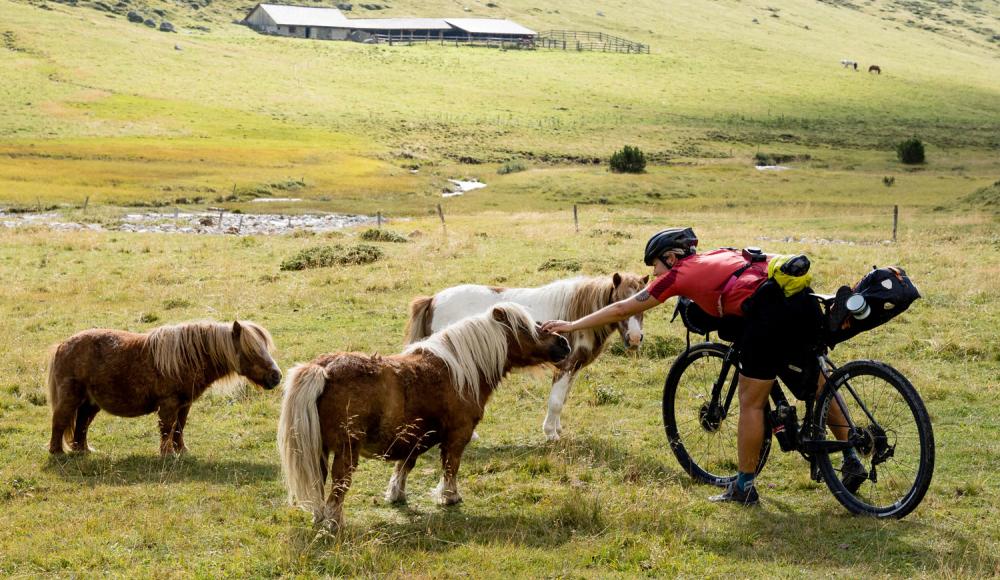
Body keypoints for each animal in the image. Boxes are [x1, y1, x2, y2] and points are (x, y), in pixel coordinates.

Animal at [49, 320, 280, 456]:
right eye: (252, 351)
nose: (276, 376)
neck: (186, 357)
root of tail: (62, 345)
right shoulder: (169, 403)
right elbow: (167, 428)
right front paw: (168, 454)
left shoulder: (184, 404)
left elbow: (179, 427)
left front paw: (182, 451)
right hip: (70, 398)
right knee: (60, 421)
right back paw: (57, 452)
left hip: (90, 403)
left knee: (82, 424)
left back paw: (83, 450)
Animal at [404, 272, 648, 440]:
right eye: (618, 300)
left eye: (643, 305)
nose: (635, 338)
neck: (577, 317)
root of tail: (433, 299)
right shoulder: (566, 366)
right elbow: (556, 401)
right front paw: (550, 434)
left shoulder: (573, 368)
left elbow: (562, 399)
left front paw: (557, 428)